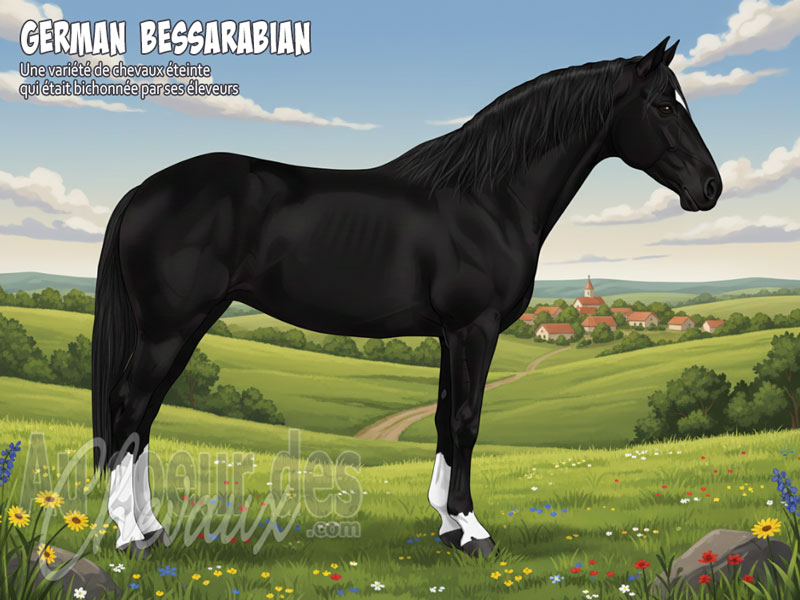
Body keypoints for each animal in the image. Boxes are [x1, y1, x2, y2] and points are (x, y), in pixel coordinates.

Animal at [92, 37, 721, 558]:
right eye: (665, 106)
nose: (710, 187)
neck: (487, 198)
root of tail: (143, 190)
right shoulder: (474, 328)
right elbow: (466, 421)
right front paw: (474, 531)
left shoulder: (449, 333)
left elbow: (443, 419)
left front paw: (446, 526)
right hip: (170, 328)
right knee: (129, 409)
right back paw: (130, 535)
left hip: (184, 327)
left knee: (144, 418)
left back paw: (151, 528)